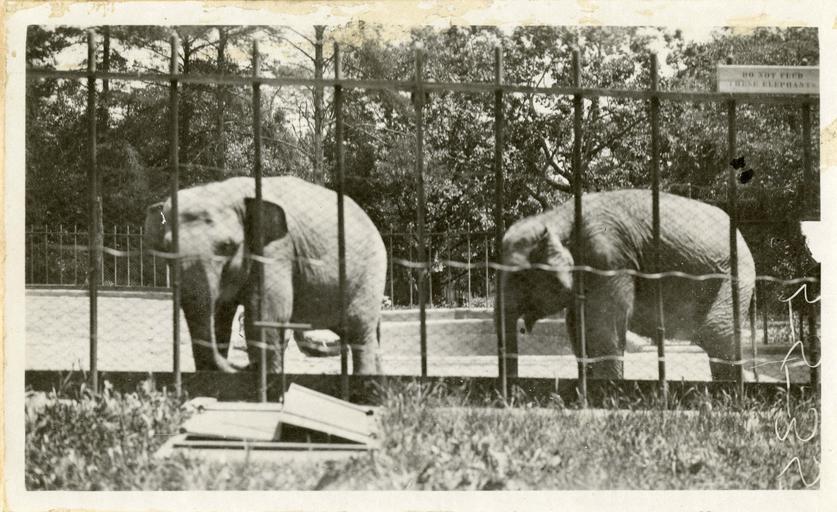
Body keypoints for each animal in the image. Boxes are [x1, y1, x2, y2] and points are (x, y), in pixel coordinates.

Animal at [144, 176, 387, 375]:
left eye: (227, 247)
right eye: (167, 249)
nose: (243, 367)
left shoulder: (276, 250)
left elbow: (266, 317)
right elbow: (221, 317)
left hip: (370, 272)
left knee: (360, 331)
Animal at [497, 189, 755, 381]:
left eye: (520, 277)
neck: (555, 217)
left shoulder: (609, 258)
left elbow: (603, 331)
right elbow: (577, 329)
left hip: (734, 276)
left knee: (716, 335)